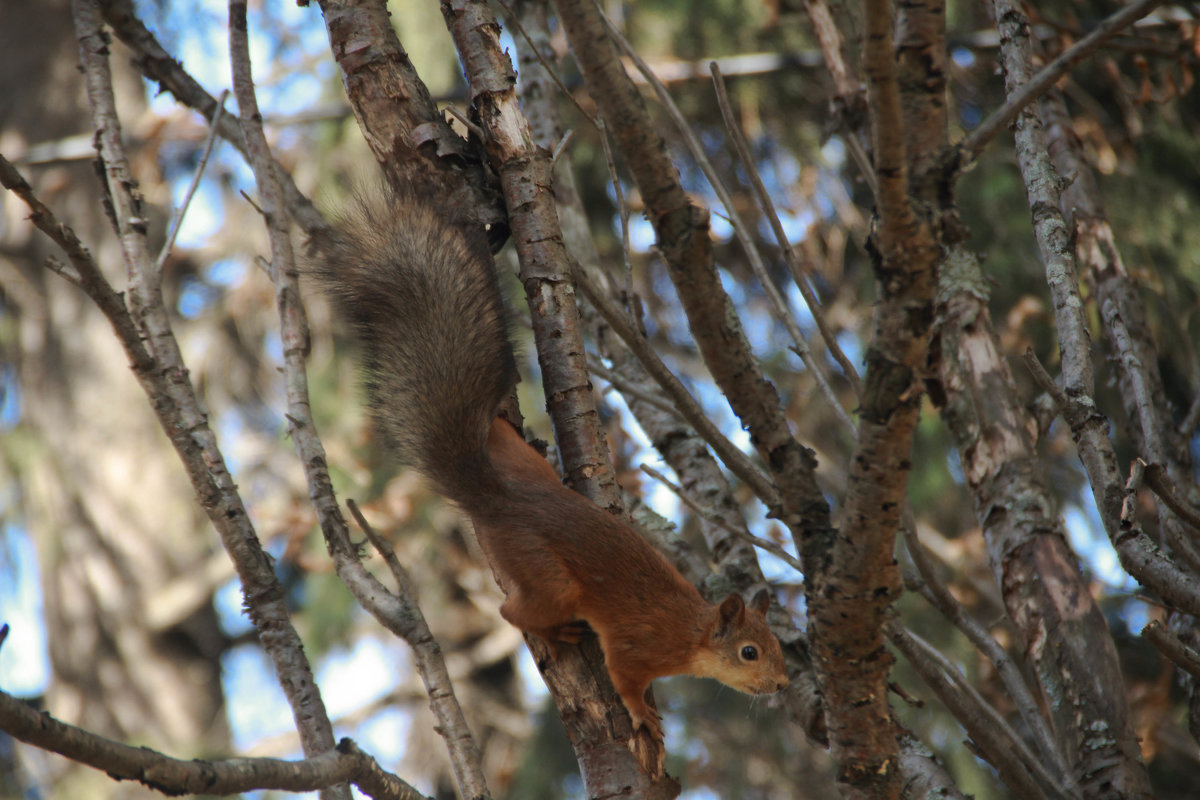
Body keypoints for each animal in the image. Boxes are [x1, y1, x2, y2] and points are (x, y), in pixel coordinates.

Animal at [314, 188, 792, 738]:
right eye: (749, 652)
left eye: (777, 647)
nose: (782, 685)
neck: (690, 631)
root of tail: (497, 498)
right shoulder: (633, 647)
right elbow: (625, 679)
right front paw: (643, 717)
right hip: (547, 577)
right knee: (509, 610)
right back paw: (553, 630)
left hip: (528, 468)